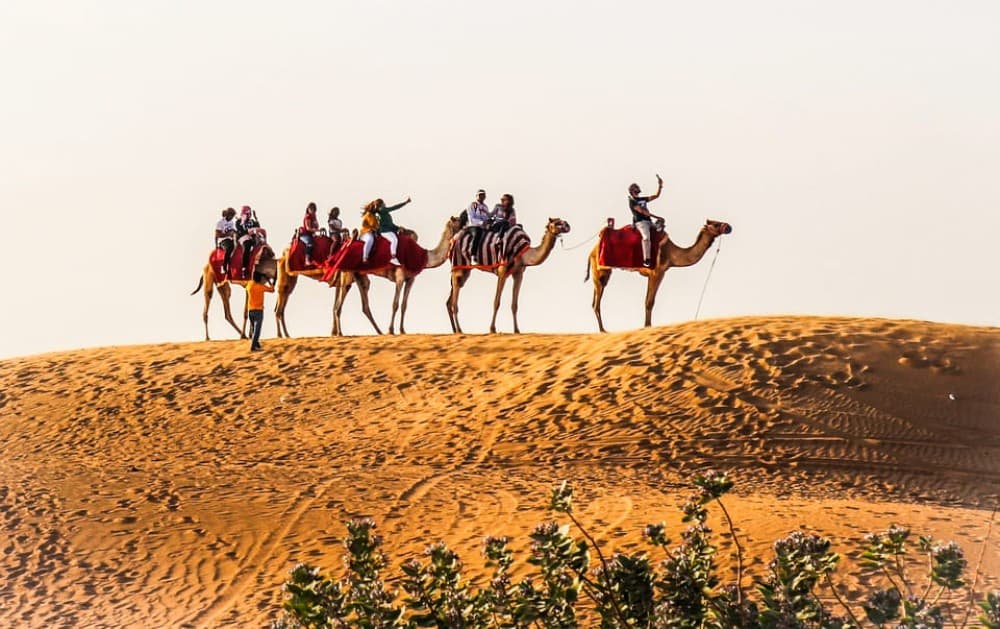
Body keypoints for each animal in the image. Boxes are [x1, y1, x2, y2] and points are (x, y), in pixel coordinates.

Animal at [332, 216, 463, 336]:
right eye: (459, 221)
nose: (465, 227)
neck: (424, 256)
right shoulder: (399, 277)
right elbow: (395, 304)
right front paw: (391, 330)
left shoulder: (410, 279)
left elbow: (404, 305)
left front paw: (402, 330)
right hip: (347, 274)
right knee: (339, 305)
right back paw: (340, 333)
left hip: (359, 276)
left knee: (364, 305)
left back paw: (379, 332)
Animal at [586, 219, 732, 332]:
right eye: (716, 224)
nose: (729, 227)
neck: (672, 254)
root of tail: (591, 252)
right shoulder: (658, 272)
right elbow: (650, 302)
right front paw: (647, 326)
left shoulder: (655, 274)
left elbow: (647, 300)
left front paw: (647, 326)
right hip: (599, 271)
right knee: (596, 302)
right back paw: (603, 330)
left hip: (602, 273)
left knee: (594, 301)